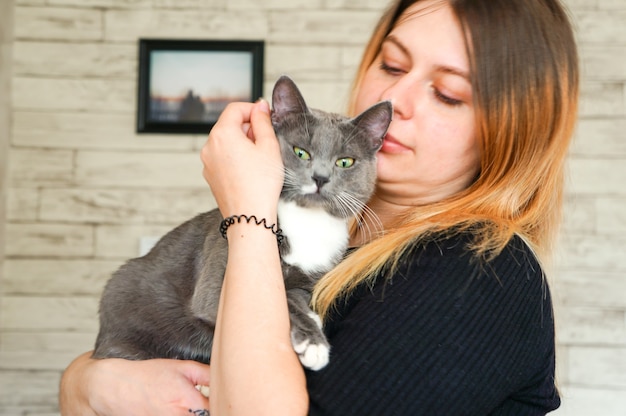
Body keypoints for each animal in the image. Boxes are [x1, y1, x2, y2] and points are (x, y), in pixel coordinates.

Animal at [92, 76, 390, 372]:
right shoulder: (215, 284)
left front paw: (311, 325)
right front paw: (313, 343)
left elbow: (293, 294)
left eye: (345, 162)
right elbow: (279, 299)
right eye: (301, 152)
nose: (320, 177)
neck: (307, 220)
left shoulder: (312, 278)